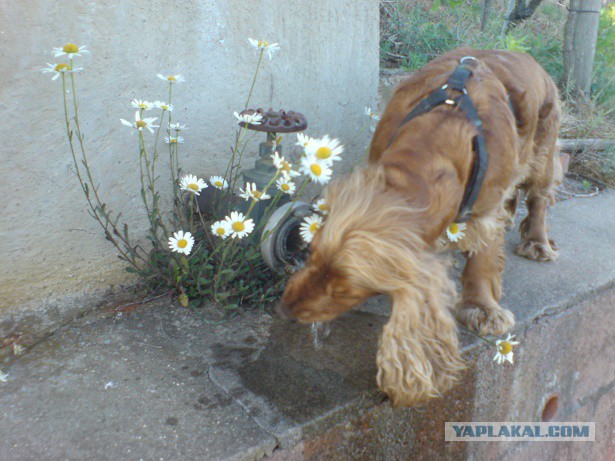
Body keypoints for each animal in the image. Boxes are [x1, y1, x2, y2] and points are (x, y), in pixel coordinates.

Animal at [280, 47, 564, 406]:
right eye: (311, 253)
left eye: (346, 289)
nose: (285, 310)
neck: (438, 135)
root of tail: (528, 57)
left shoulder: (487, 208)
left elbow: (483, 259)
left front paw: (482, 308)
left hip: (544, 145)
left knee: (539, 196)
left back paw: (538, 243)